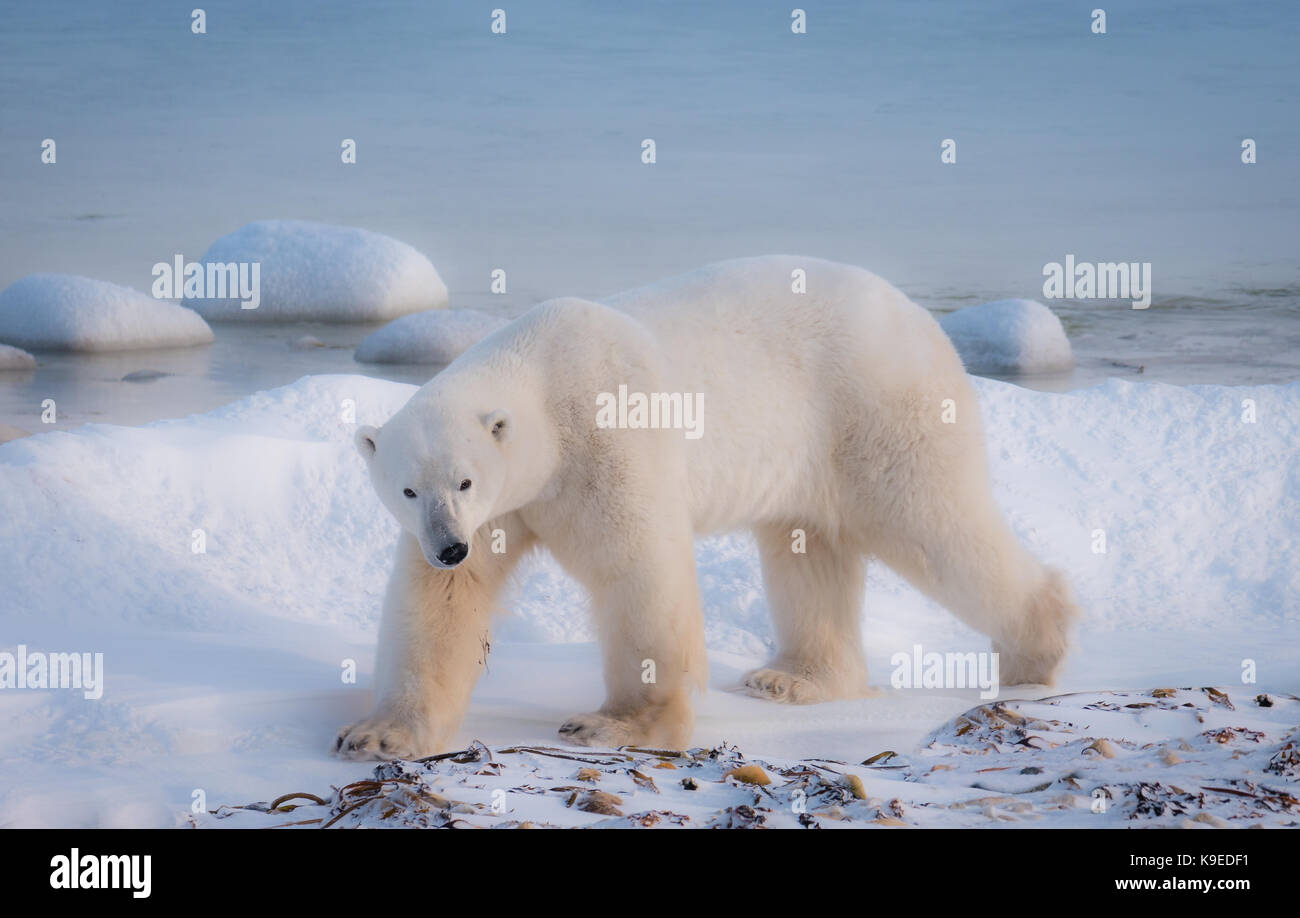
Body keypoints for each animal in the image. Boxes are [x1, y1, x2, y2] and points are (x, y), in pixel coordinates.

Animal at [335, 253, 1076, 754]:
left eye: (464, 481)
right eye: (408, 488)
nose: (449, 546)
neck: (544, 378)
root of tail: (921, 318)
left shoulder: (605, 443)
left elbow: (637, 572)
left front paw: (616, 722)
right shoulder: (506, 508)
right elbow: (439, 604)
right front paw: (376, 734)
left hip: (875, 409)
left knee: (933, 520)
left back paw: (1035, 652)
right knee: (808, 552)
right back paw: (793, 678)